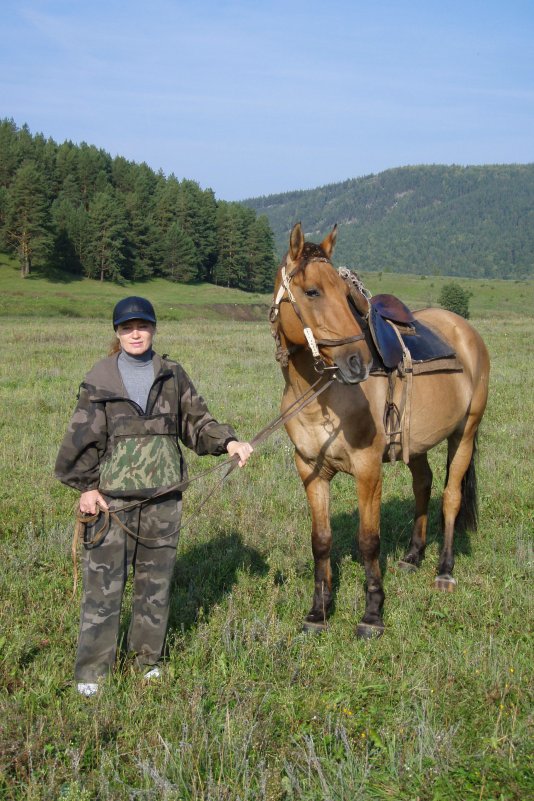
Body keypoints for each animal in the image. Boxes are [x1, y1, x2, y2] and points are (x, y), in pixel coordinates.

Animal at [272, 222, 490, 636]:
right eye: (312, 291)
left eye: (345, 294)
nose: (357, 362)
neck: (321, 394)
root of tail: (465, 330)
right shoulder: (310, 469)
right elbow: (321, 540)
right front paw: (318, 612)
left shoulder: (368, 469)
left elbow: (369, 541)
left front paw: (373, 613)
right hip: (414, 442)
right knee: (423, 484)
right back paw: (413, 556)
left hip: (465, 434)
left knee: (451, 497)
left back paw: (444, 571)